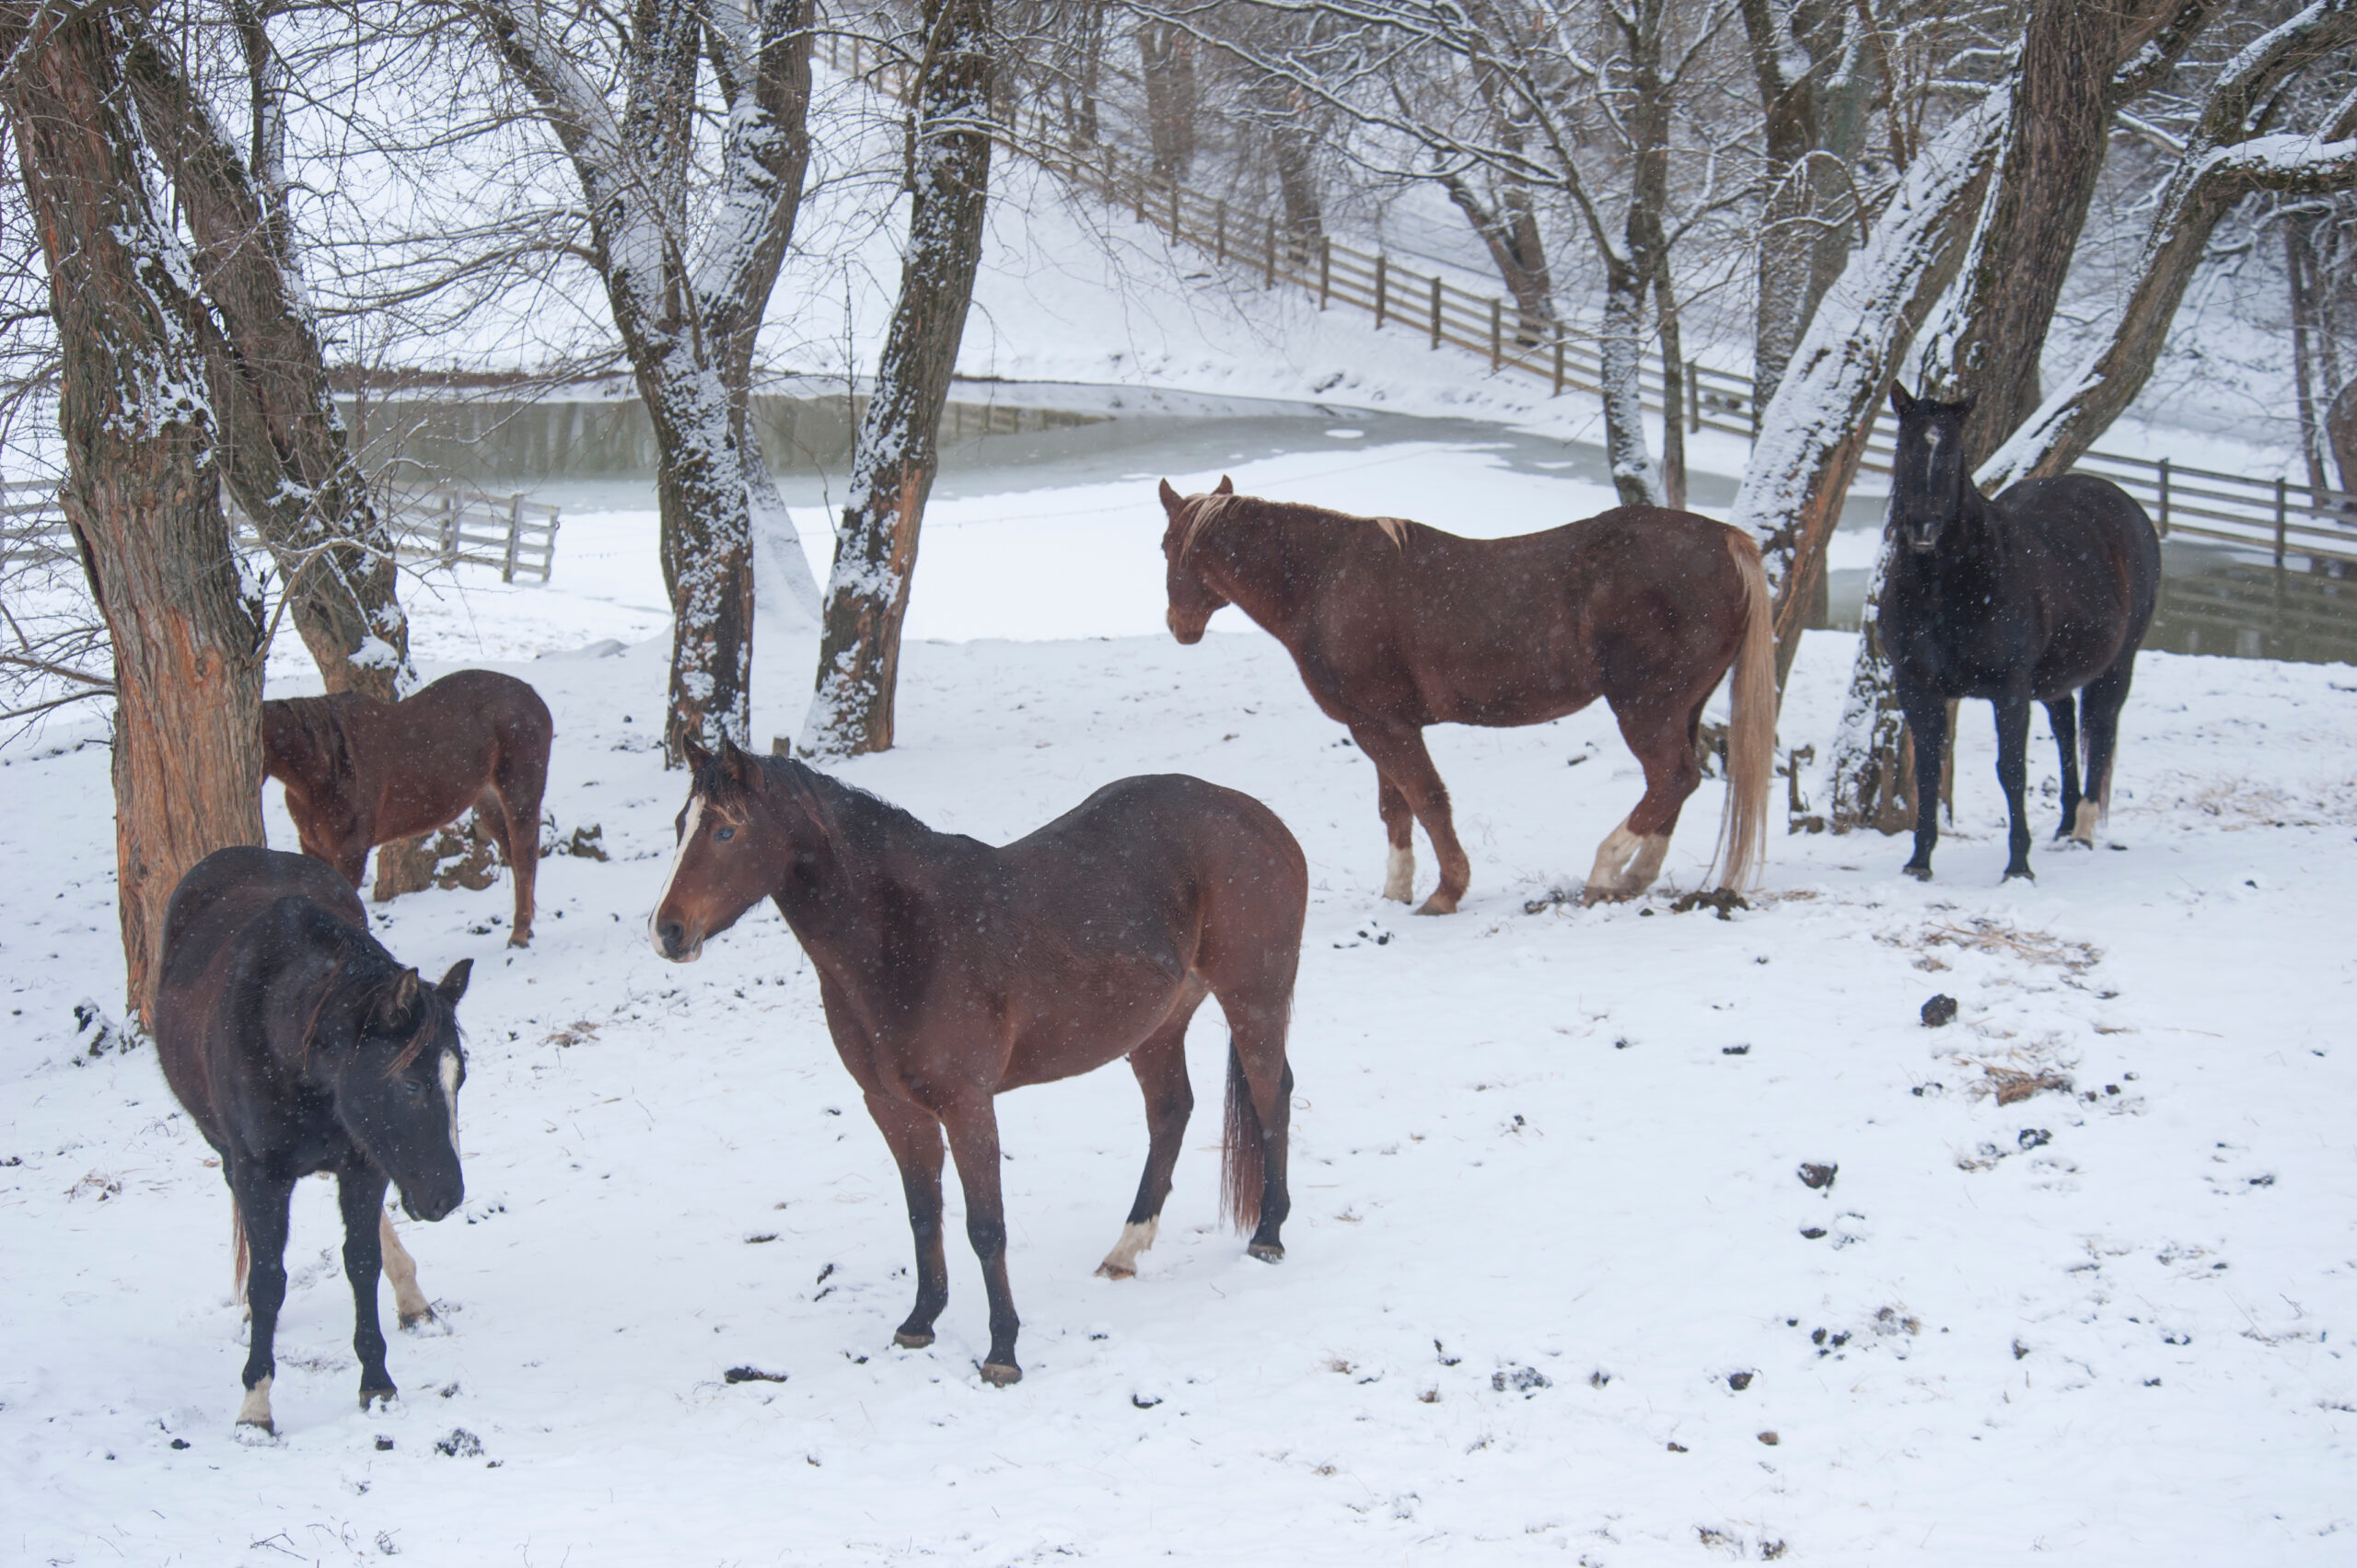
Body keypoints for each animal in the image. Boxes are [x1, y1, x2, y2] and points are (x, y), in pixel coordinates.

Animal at [151, 846, 471, 1436]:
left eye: (457, 1080)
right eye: (411, 1084)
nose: (447, 1196)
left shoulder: (363, 1163)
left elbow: (362, 1261)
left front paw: (377, 1383)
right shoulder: (259, 1175)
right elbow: (268, 1279)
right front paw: (255, 1407)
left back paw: (411, 1297)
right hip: (227, 1152)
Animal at [261, 669, 552, 946]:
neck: (329, 768)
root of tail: (533, 697)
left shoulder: (350, 852)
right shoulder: (313, 847)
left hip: (520, 797)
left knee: (524, 858)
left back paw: (520, 935)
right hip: (489, 802)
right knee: (515, 856)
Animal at [649, 740, 1306, 1387]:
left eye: (726, 830)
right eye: (682, 825)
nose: (667, 931)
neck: (903, 936)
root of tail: (1261, 820)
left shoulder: (966, 1105)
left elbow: (986, 1228)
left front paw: (1003, 1352)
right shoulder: (892, 1108)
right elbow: (923, 1215)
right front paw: (920, 1321)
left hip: (1254, 1001)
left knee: (1271, 1096)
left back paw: (1268, 1236)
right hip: (1157, 1026)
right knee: (1171, 1112)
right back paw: (1125, 1251)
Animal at [1157, 477, 1775, 913]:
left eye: (1166, 545)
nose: (1177, 626)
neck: (1325, 582)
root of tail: (1727, 541)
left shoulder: (1383, 725)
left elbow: (1429, 801)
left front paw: (1445, 891)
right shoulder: (1378, 725)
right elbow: (1395, 810)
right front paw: (1395, 893)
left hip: (1648, 707)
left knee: (1673, 778)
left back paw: (1605, 873)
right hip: (1686, 707)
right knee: (1676, 784)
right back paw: (1634, 880)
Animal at [1878, 385, 2160, 882]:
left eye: (1953, 452)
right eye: (1904, 447)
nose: (1922, 527)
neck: (1946, 587)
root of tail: (2127, 506)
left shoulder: (2009, 689)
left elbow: (2011, 770)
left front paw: (2018, 867)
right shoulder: (1916, 686)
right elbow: (1928, 769)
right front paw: (1919, 861)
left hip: (2117, 667)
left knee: (2101, 733)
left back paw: (2083, 831)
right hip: (2054, 681)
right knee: (2067, 731)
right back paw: (2065, 826)